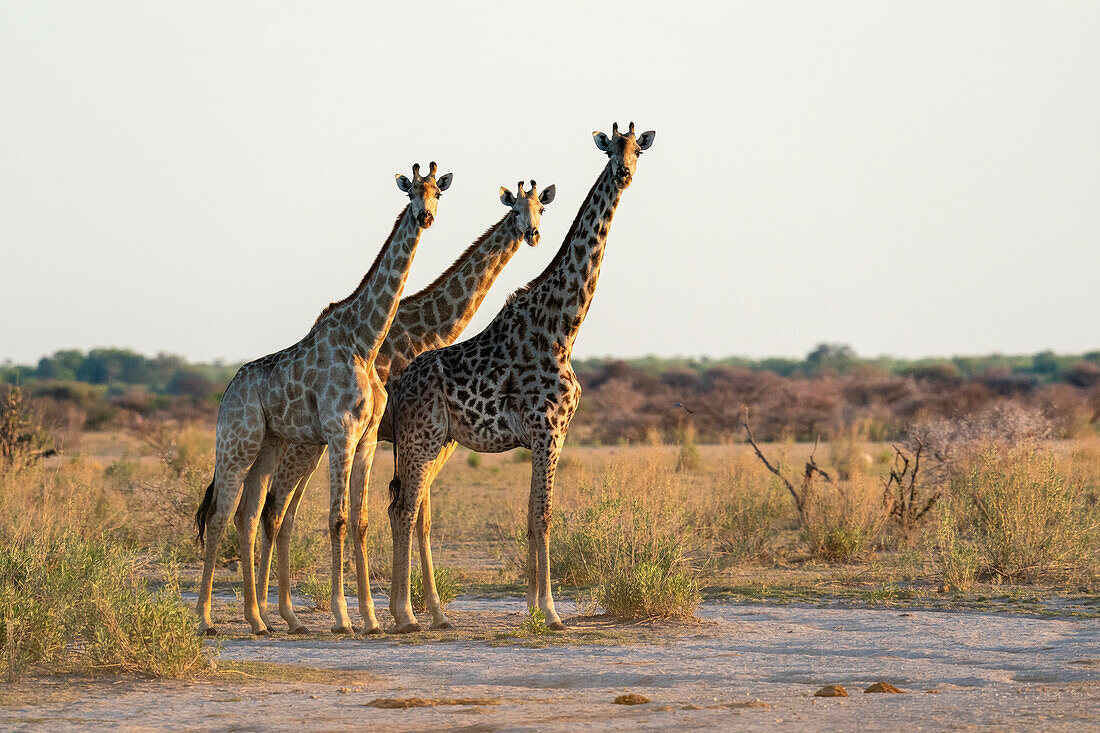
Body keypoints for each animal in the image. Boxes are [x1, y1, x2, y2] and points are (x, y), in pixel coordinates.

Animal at [193, 161, 451, 633]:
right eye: (411, 192)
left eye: (437, 193)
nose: (425, 216)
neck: (365, 341)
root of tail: (228, 389)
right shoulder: (340, 433)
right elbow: (337, 519)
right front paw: (343, 618)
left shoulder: (367, 439)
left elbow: (361, 521)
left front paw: (371, 618)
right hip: (236, 443)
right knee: (220, 514)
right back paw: (204, 620)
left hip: (270, 446)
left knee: (247, 516)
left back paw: (258, 621)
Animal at [242, 179, 558, 629]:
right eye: (515, 209)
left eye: (541, 210)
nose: (531, 234)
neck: (429, 330)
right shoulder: (409, 435)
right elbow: (407, 511)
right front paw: (406, 611)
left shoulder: (423, 438)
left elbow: (419, 516)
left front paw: (429, 613)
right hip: (305, 445)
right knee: (273, 508)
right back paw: (272, 613)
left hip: (312, 445)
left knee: (280, 511)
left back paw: (276, 612)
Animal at [387, 121, 651, 629]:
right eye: (610, 149)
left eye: (638, 150)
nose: (625, 173)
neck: (563, 327)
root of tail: (401, 383)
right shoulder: (548, 430)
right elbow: (543, 516)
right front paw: (550, 611)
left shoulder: (551, 435)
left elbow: (531, 515)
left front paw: (533, 605)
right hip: (418, 439)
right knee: (405, 509)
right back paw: (404, 614)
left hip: (437, 442)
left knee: (401, 508)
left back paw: (415, 612)